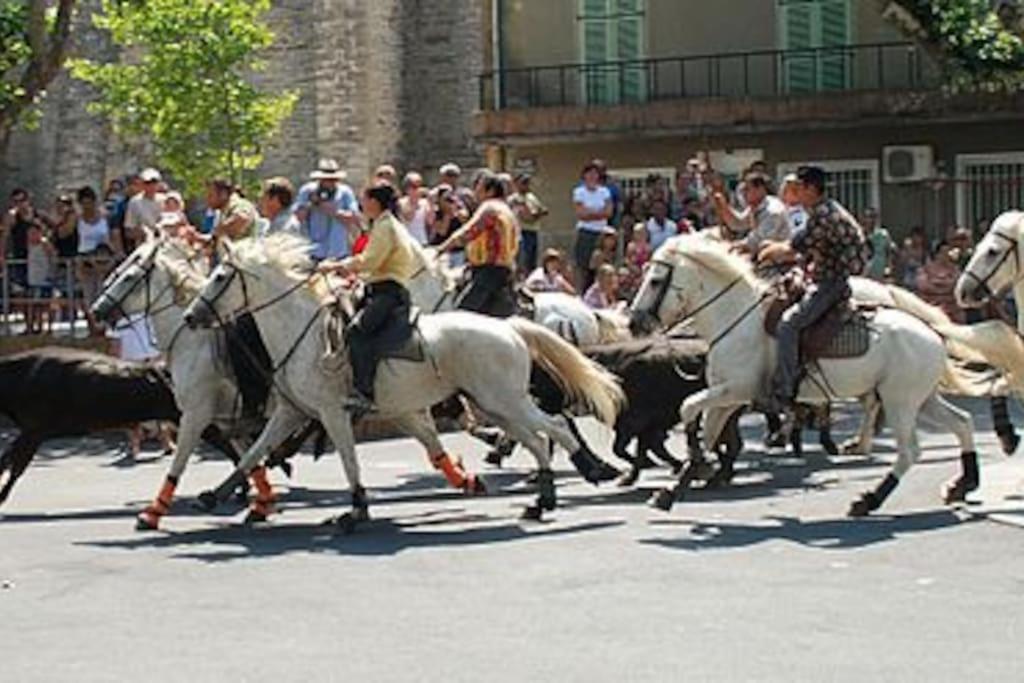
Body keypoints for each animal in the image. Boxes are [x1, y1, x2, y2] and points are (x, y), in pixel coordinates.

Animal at [180, 232, 618, 528]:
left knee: (554, 427)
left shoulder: (333, 413)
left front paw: (356, 511)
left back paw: (580, 475)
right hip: (498, 404)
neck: (301, 331)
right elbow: (254, 453)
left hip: (507, 401)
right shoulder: (291, 411)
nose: (189, 316)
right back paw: (543, 498)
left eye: (219, 276)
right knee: (538, 439)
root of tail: (510, 326)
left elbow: (349, 460)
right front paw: (213, 495)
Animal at [626, 232, 978, 516]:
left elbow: (689, 408)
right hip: (922, 398)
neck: (738, 319)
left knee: (909, 451)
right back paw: (963, 483)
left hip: (900, 401)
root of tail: (933, 333)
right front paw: (678, 485)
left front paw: (695, 469)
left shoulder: (738, 389)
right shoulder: (725, 397)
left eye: (656, 280)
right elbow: (707, 430)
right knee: (962, 422)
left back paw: (868, 499)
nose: (634, 322)